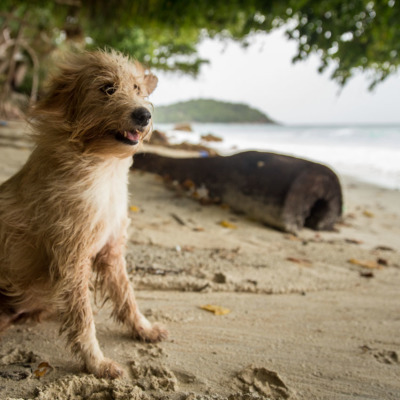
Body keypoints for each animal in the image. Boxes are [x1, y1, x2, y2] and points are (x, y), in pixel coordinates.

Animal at [0, 50, 167, 378]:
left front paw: (144, 329)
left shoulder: (111, 251)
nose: (144, 114)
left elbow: (127, 296)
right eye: (107, 88)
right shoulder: (73, 258)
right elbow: (83, 318)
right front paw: (96, 363)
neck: (102, 166)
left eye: (137, 88)